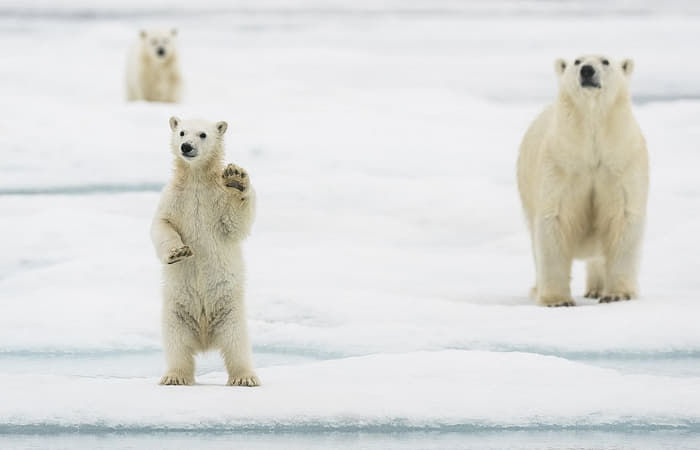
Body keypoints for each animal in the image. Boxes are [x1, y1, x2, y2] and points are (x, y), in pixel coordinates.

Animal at [150, 117, 258, 386]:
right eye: (181, 132)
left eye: (203, 134)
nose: (186, 146)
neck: (196, 180)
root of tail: (204, 338)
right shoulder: (174, 198)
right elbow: (161, 224)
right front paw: (178, 252)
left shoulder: (216, 200)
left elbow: (235, 222)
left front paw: (237, 178)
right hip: (175, 313)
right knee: (177, 345)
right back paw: (174, 376)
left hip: (231, 311)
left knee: (237, 344)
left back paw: (245, 378)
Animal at [516, 55, 652, 306]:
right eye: (577, 61)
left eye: (605, 61)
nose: (587, 71)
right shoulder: (560, 164)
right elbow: (554, 221)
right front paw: (557, 300)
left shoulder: (621, 162)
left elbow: (623, 219)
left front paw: (617, 294)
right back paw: (538, 288)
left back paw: (596, 289)